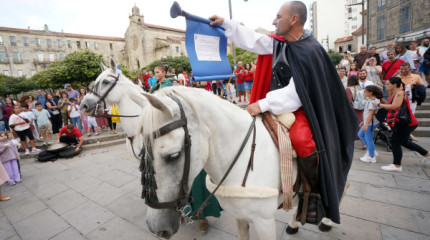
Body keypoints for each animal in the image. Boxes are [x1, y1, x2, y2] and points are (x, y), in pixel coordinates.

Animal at [81, 59, 336, 239]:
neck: (244, 159)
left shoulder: (265, 222)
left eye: (173, 156)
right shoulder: (241, 217)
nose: (84, 105)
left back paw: (325, 220)